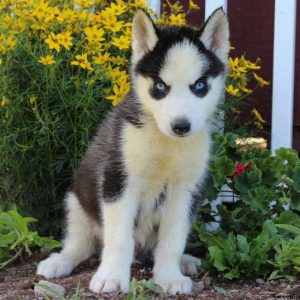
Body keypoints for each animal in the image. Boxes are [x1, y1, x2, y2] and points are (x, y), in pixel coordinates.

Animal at [37, 7, 230, 296]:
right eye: (160, 86)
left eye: (199, 86)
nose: (181, 126)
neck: (164, 142)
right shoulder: (118, 182)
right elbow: (119, 239)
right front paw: (111, 277)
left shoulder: (184, 191)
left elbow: (172, 239)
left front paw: (169, 276)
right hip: (76, 204)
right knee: (81, 245)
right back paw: (59, 261)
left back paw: (185, 261)